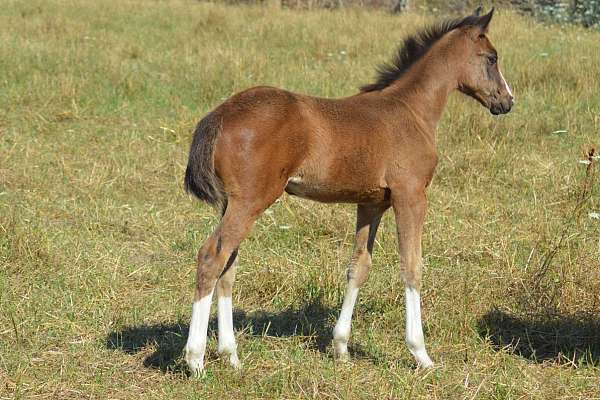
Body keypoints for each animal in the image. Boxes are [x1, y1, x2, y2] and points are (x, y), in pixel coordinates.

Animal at [182, 7, 510, 376]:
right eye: (492, 58)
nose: (507, 101)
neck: (412, 111)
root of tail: (220, 113)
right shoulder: (411, 196)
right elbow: (412, 266)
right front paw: (421, 354)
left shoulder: (371, 204)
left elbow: (358, 267)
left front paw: (340, 347)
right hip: (250, 201)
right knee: (211, 258)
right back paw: (196, 360)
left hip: (232, 204)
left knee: (228, 267)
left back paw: (232, 356)